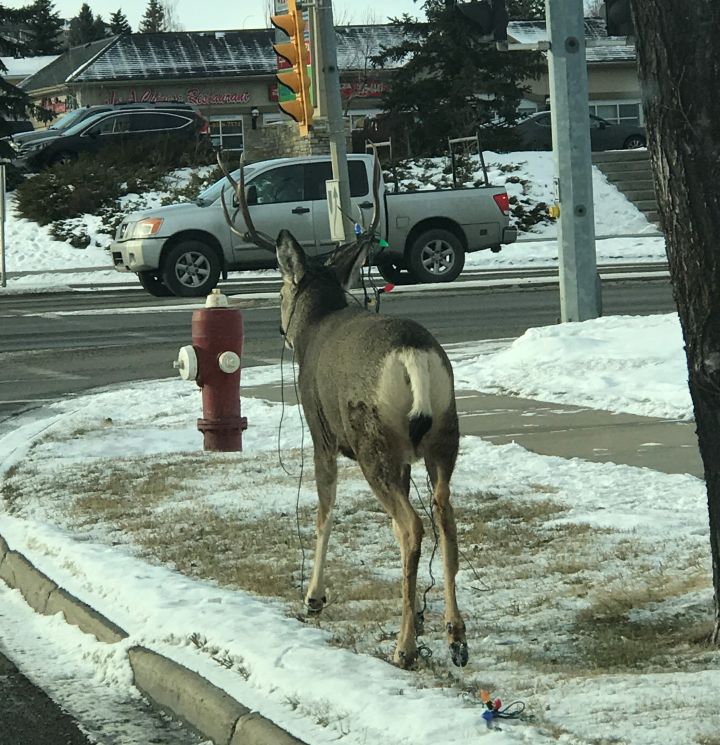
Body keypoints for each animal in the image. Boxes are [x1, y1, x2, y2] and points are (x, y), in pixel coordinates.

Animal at [218, 153, 467, 669]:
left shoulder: (321, 434)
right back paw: (455, 636)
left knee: (411, 525)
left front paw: (313, 597)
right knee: (444, 516)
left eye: (281, 288)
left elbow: (323, 512)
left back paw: (404, 647)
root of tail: (412, 355)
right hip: (443, 433)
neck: (315, 326)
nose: (278, 324)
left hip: (373, 440)